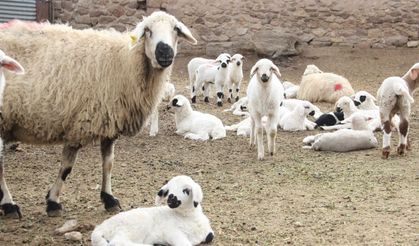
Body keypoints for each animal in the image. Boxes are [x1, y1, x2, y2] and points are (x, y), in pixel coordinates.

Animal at [0, 12, 198, 219]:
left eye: (175, 29)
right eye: (147, 30)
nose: (165, 52)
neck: (124, 62)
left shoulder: (109, 123)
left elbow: (108, 163)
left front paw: (109, 198)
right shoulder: (79, 125)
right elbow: (66, 168)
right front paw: (53, 202)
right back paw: (9, 205)